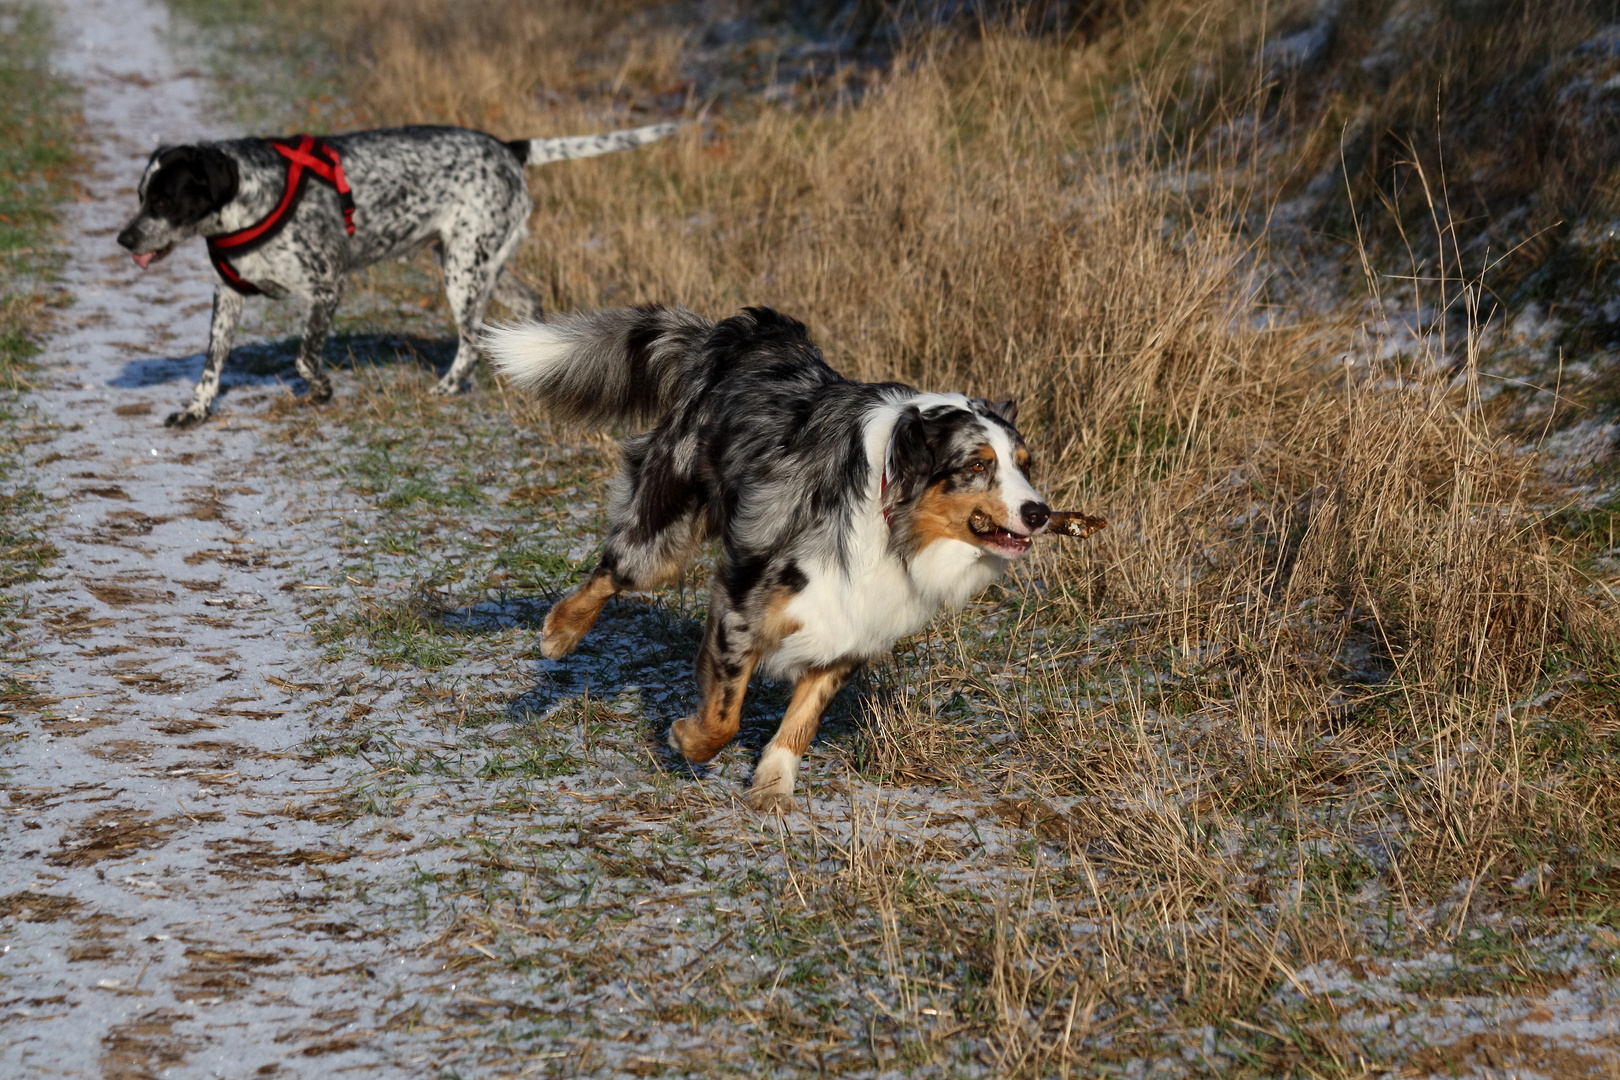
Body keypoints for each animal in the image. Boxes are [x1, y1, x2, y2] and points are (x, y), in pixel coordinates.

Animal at [114, 122, 670, 427]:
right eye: (141, 196)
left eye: (164, 199)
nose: (124, 239)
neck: (249, 200)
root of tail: (507, 147)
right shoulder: (227, 297)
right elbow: (211, 367)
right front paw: (195, 411)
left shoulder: (327, 285)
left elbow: (304, 358)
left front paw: (321, 391)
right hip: (478, 261)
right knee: (525, 307)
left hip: (463, 273)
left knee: (471, 341)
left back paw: (447, 389)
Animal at [482, 304, 1049, 809]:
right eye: (976, 465)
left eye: (1025, 464)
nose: (1040, 512)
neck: (890, 518)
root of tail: (747, 332)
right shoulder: (742, 603)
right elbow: (723, 717)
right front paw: (686, 739)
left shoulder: (852, 620)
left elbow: (802, 720)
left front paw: (774, 785)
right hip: (662, 531)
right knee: (612, 571)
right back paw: (560, 632)